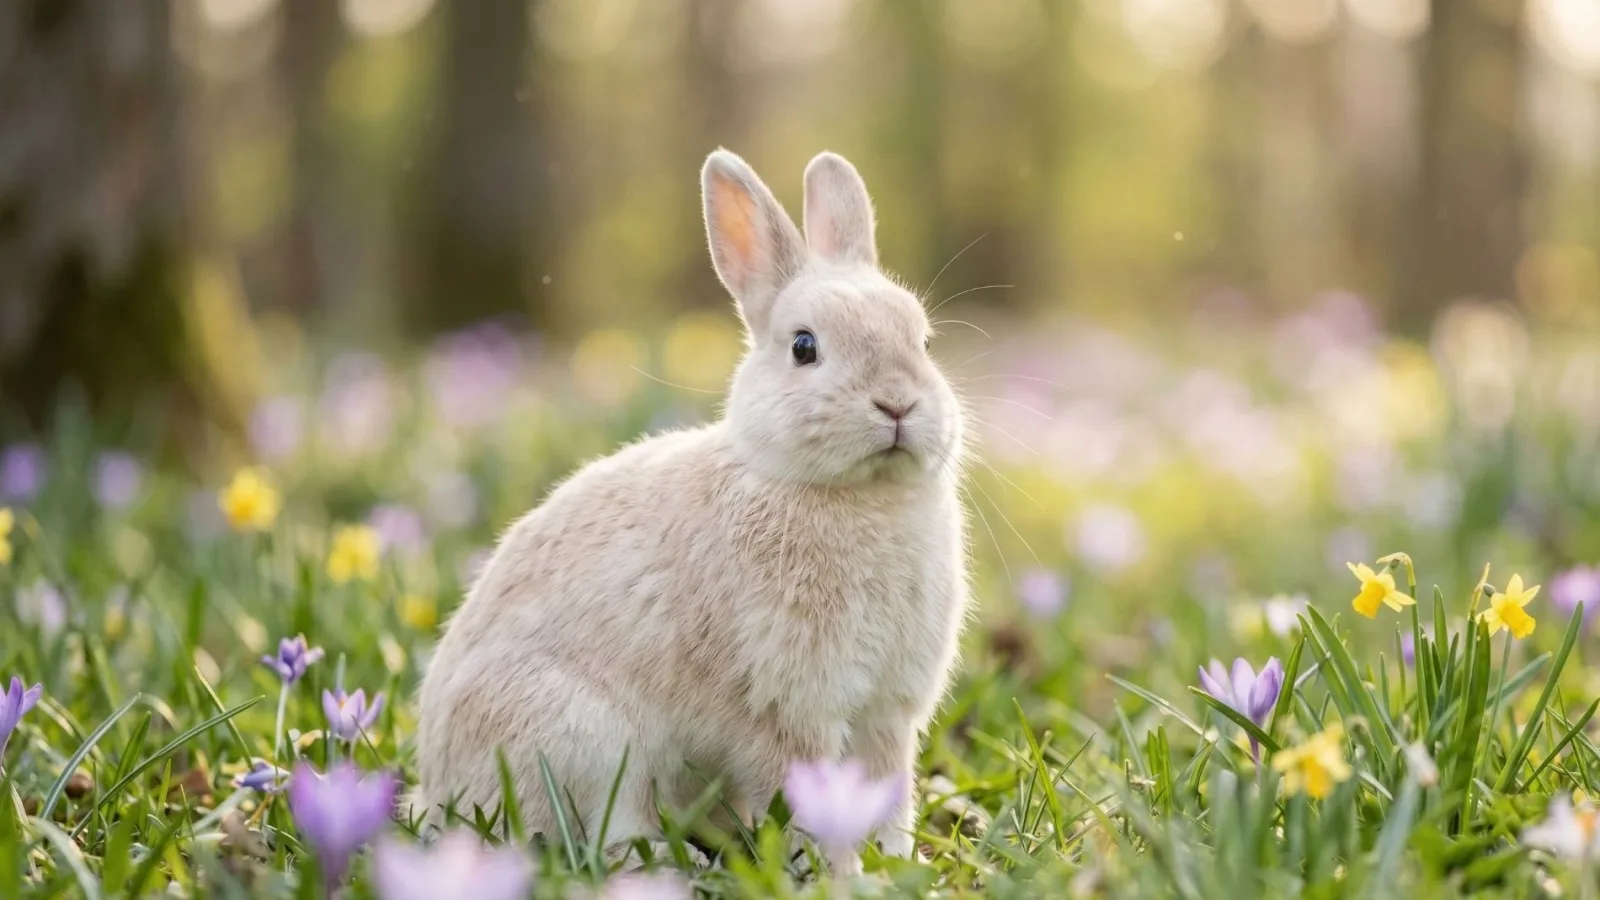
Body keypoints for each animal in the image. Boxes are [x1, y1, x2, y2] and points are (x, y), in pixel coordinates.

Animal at [414, 148, 970, 875]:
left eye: (925, 342)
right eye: (804, 347)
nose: (898, 402)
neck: (857, 495)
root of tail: (433, 787)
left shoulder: (889, 714)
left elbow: (886, 789)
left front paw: (898, 865)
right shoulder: (788, 710)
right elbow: (806, 792)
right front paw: (843, 875)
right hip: (586, 740)